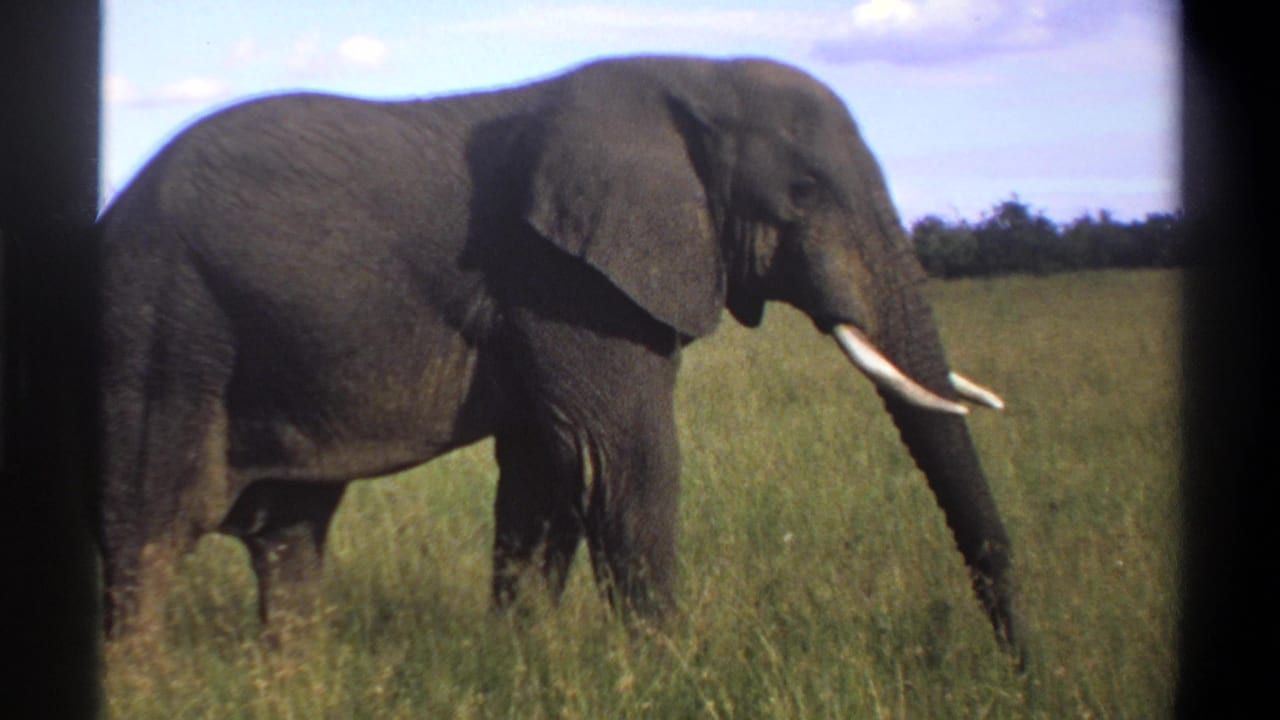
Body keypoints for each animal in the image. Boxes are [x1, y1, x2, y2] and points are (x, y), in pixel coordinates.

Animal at [94, 54, 1022, 658]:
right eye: (804, 192)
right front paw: (667, 676)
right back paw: (146, 684)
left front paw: (521, 664)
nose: (1020, 672)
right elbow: (623, 460)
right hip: (162, 328)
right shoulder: (564, 280)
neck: (694, 77)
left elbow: (547, 471)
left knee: (287, 533)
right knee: (149, 530)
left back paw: (291, 682)